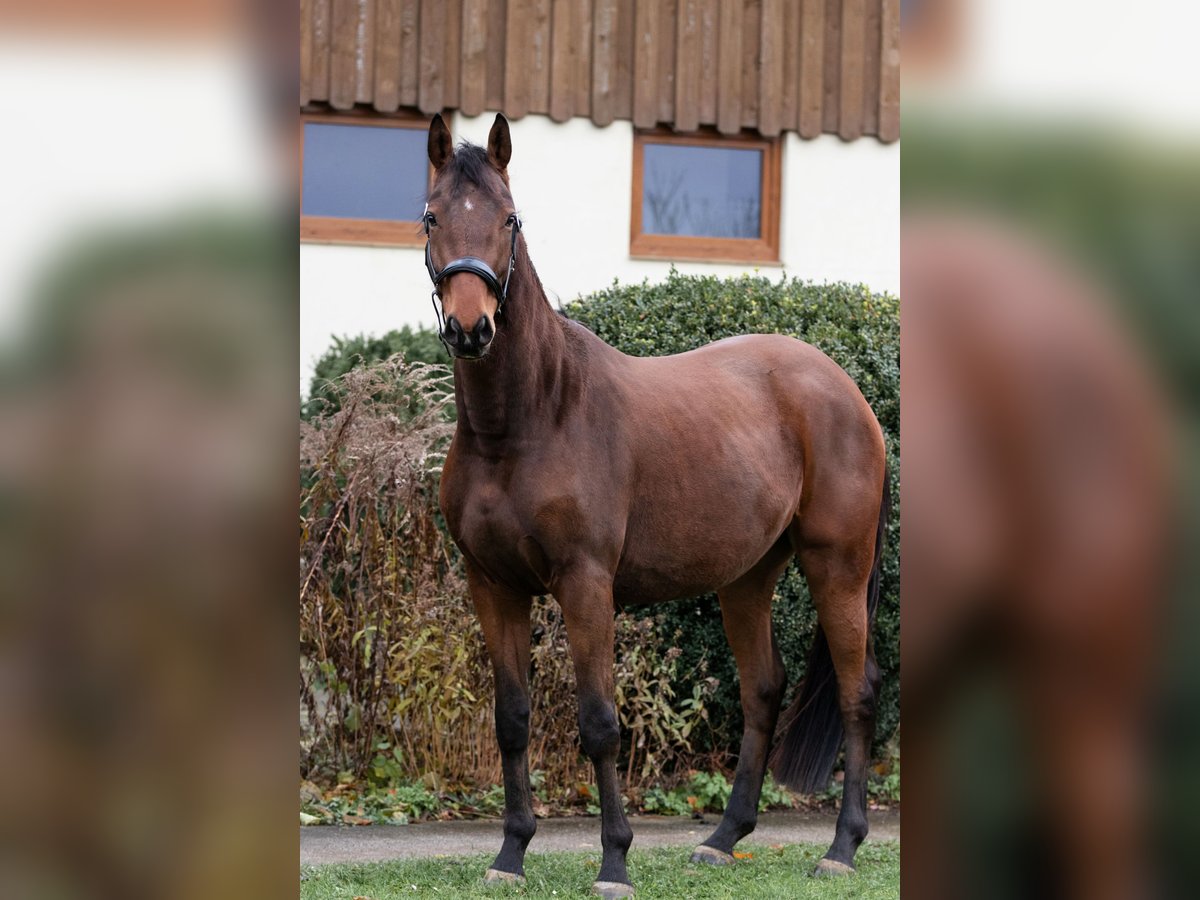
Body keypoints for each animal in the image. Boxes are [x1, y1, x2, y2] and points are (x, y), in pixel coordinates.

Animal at [427, 116, 888, 897]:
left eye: (510, 219)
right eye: (431, 216)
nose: (470, 327)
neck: (529, 420)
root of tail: (848, 392)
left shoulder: (585, 585)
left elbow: (599, 723)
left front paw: (614, 862)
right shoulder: (492, 586)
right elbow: (512, 719)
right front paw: (510, 855)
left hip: (838, 567)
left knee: (857, 692)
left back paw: (842, 847)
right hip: (748, 577)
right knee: (763, 691)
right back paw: (723, 839)